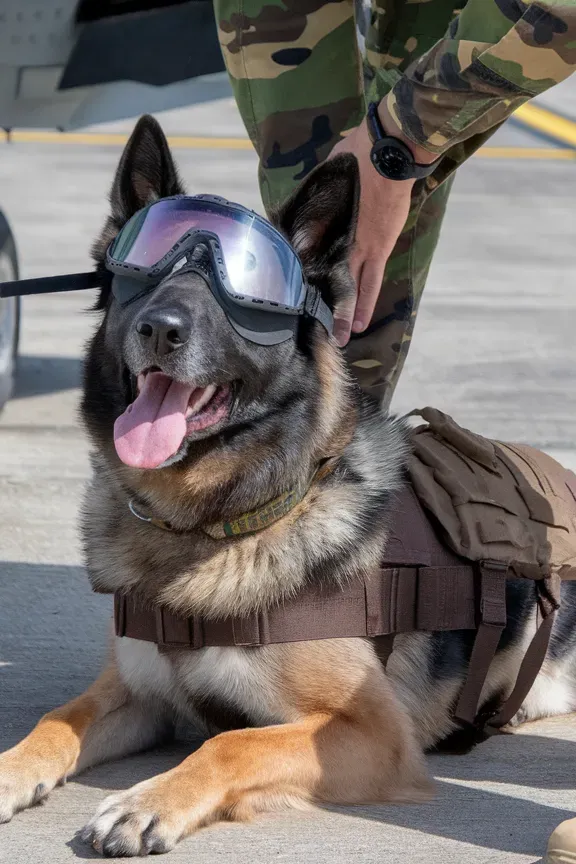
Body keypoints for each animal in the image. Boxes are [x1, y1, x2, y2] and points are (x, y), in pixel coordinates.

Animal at [1, 116, 576, 856]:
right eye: (143, 274)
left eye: (245, 294)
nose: (159, 329)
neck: (213, 528)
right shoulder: (133, 696)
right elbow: (53, 721)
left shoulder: (366, 732)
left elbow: (233, 743)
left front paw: (146, 800)